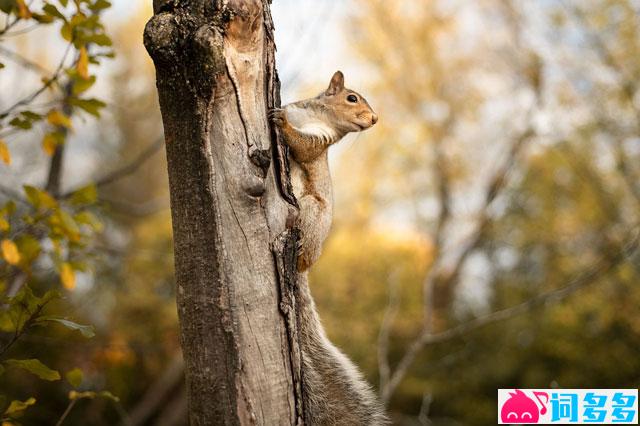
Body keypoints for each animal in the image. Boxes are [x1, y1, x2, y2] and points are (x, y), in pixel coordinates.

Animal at [268, 73, 388, 426]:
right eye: (352, 98)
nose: (374, 119)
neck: (315, 115)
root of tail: (307, 264)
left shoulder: (319, 143)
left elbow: (303, 147)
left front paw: (282, 123)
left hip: (310, 210)